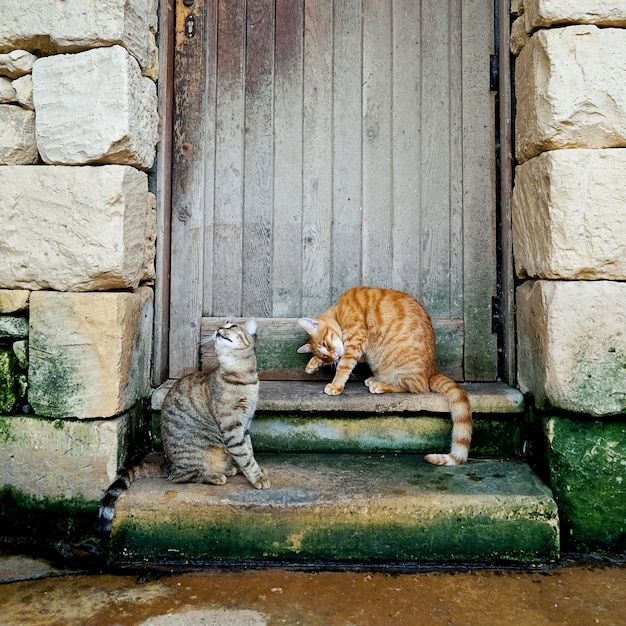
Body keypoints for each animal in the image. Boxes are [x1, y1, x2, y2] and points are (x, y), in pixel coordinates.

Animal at [96, 320, 266, 532]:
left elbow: (248, 451)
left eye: (232, 325)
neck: (243, 376)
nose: (218, 329)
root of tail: (168, 464)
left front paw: (254, 472)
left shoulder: (245, 424)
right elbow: (245, 456)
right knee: (180, 476)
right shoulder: (231, 428)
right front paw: (257, 478)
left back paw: (225, 469)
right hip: (195, 453)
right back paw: (214, 476)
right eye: (223, 325)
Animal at [296, 284, 468, 464]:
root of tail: (431, 371)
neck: (339, 310)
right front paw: (313, 364)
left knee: (416, 387)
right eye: (325, 356)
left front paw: (335, 385)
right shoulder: (360, 351)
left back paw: (380, 385)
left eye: (324, 344)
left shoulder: (356, 341)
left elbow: (343, 366)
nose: (333, 356)